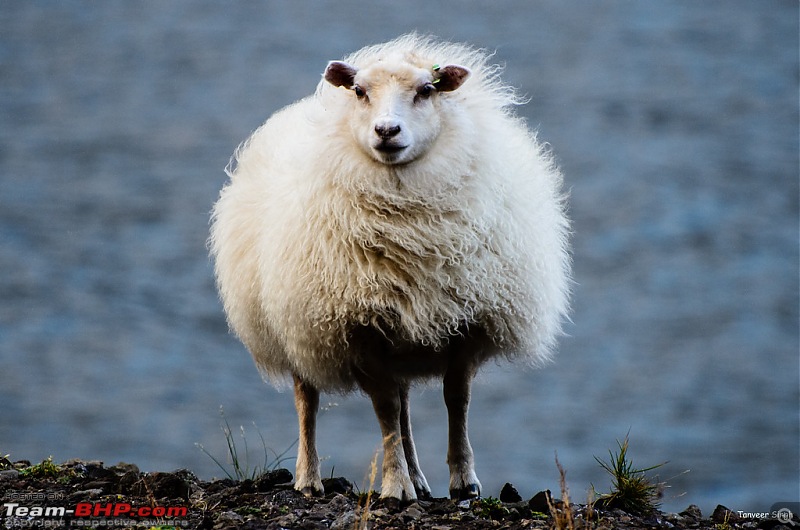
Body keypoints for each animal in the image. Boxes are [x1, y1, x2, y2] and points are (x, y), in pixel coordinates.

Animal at [209, 33, 572, 500]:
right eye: (360, 91)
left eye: (427, 90)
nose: (386, 131)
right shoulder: (359, 330)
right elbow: (383, 408)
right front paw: (395, 486)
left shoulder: (464, 322)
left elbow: (455, 400)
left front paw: (463, 479)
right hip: (296, 324)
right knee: (308, 399)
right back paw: (309, 479)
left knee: (404, 406)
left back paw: (419, 477)